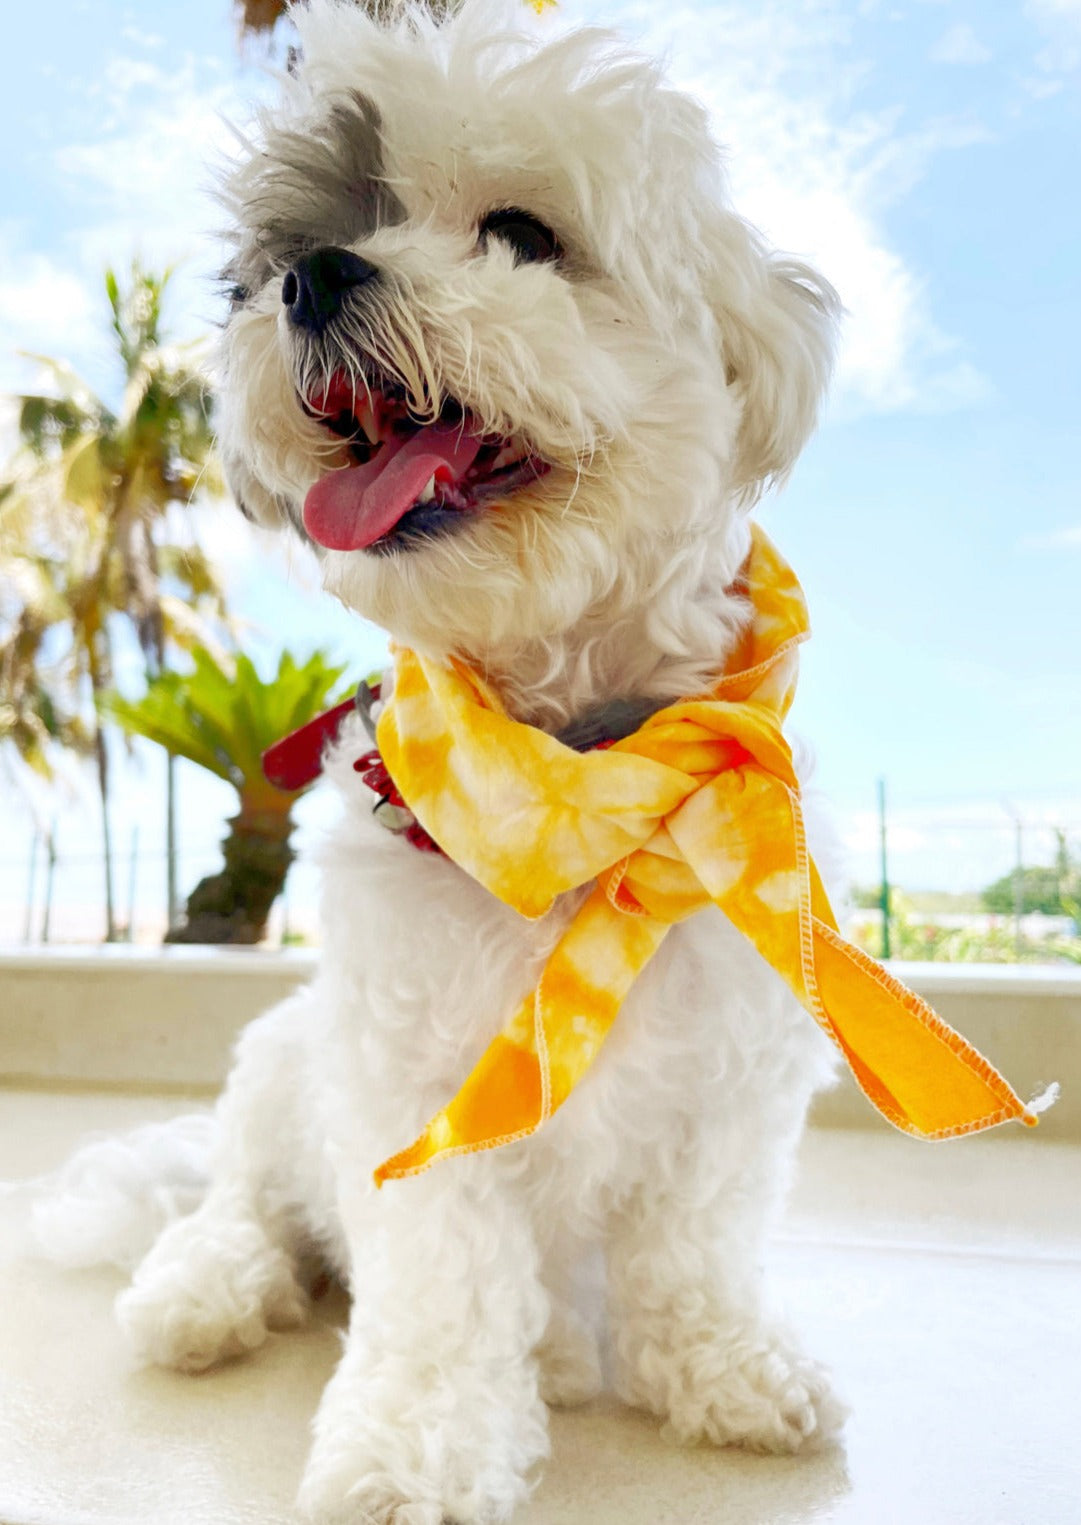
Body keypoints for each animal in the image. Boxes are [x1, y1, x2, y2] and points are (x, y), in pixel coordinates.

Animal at [50, 5, 847, 1518]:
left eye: (523, 233)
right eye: (276, 259)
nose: (310, 277)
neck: (573, 779)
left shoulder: (730, 1069)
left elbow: (695, 1244)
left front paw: (722, 1366)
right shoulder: (409, 1089)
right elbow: (442, 1286)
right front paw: (416, 1442)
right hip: (280, 1063)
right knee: (240, 1204)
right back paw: (205, 1285)